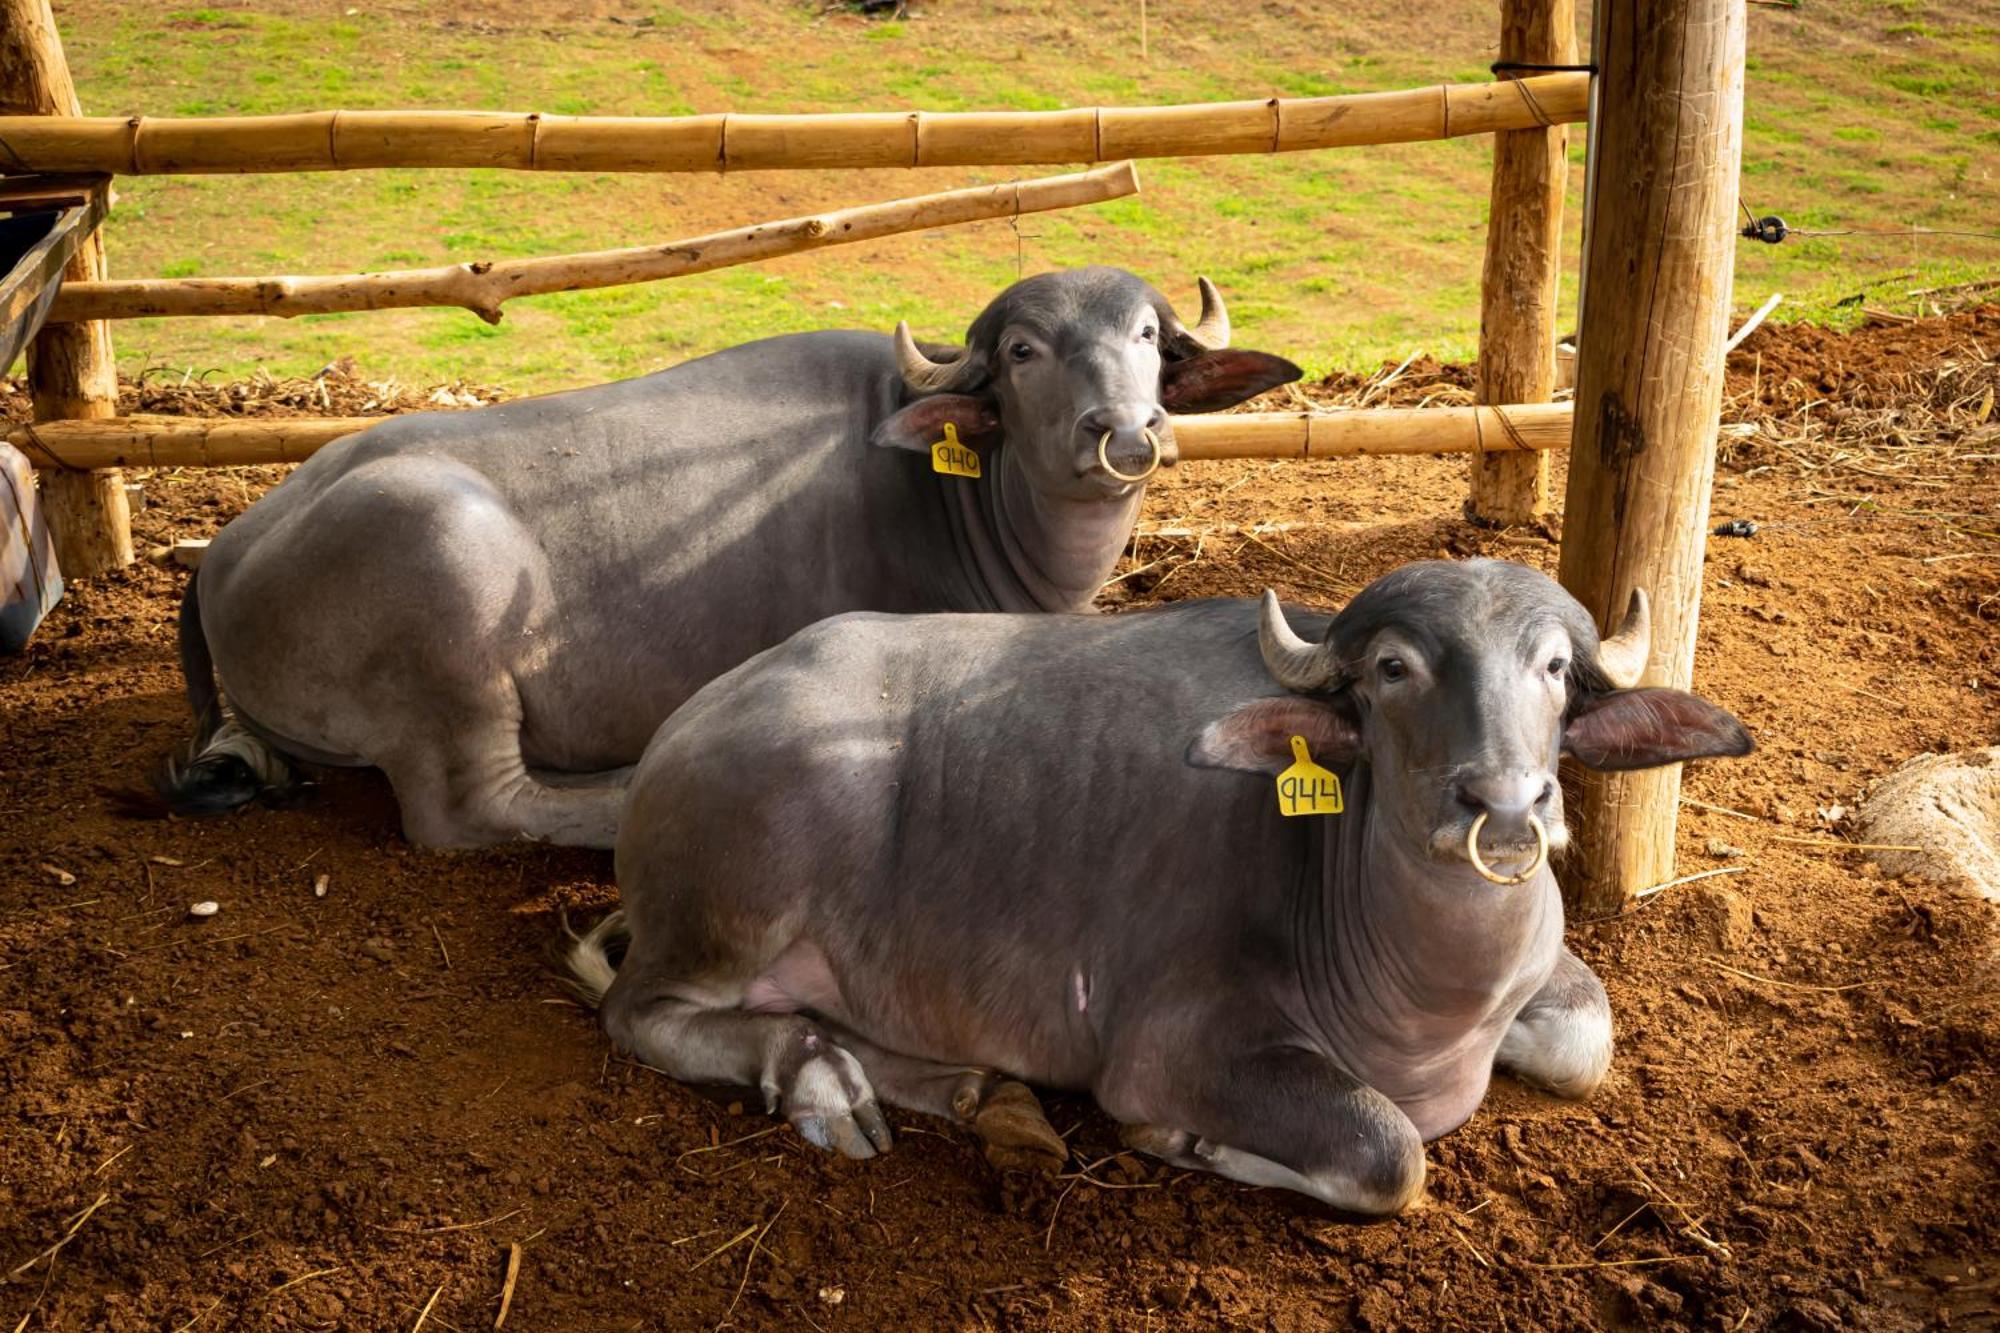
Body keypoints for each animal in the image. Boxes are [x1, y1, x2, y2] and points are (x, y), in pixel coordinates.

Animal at [164, 266, 1304, 844]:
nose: (1126, 432)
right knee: (473, 810)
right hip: (448, 581)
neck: (958, 493)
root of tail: (227, 554)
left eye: (1148, 336)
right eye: (1023, 350)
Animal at [564, 556, 1752, 1208]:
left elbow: (1586, 1039)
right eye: (1391, 668)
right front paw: (1192, 1142)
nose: (1506, 807)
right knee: (644, 1013)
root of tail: (685, 730)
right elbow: (1388, 1152)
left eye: (1554, 669)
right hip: (737, 899)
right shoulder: (1169, 1049)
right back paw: (816, 1080)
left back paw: (972, 1093)